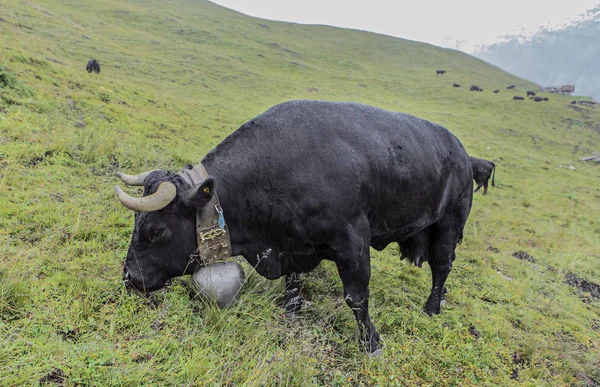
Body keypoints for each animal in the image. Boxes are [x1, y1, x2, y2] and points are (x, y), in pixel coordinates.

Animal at [113, 100, 474, 354]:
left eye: (156, 231)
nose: (129, 276)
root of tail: (461, 150)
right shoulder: (290, 244)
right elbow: (294, 278)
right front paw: (291, 305)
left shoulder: (352, 239)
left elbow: (357, 297)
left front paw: (370, 343)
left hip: (450, 223)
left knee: (442, 266)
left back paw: (432, 306)